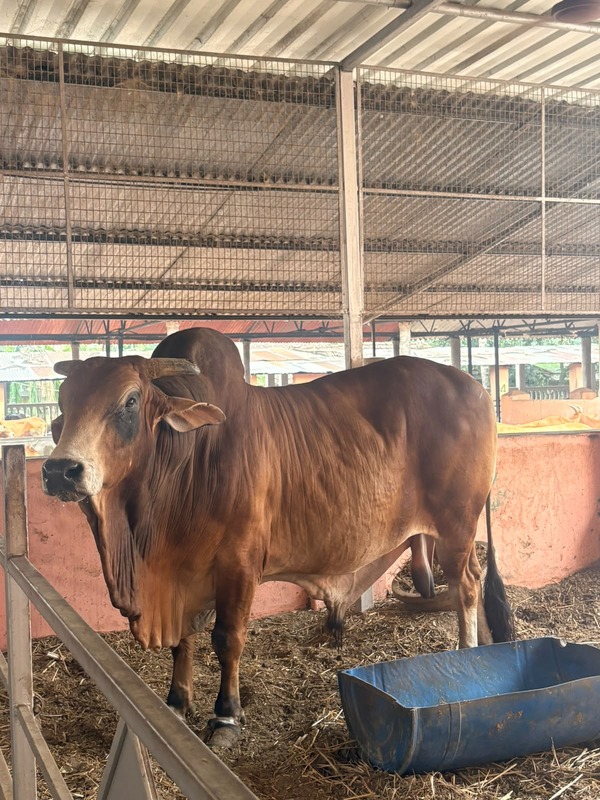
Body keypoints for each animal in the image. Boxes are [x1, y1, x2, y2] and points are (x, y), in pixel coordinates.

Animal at [42, 327, 514, 748]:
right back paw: (487, 651)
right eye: (65, 400)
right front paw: (176, 702)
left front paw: (226, 716)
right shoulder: (181, 574)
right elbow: (183, 641)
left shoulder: (239, 563)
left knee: (465, 586)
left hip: (457, 525)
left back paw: (466, 653)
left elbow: (227, 638)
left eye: (130, 400)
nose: (59, 470)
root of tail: (475, 387)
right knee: (472, 584)